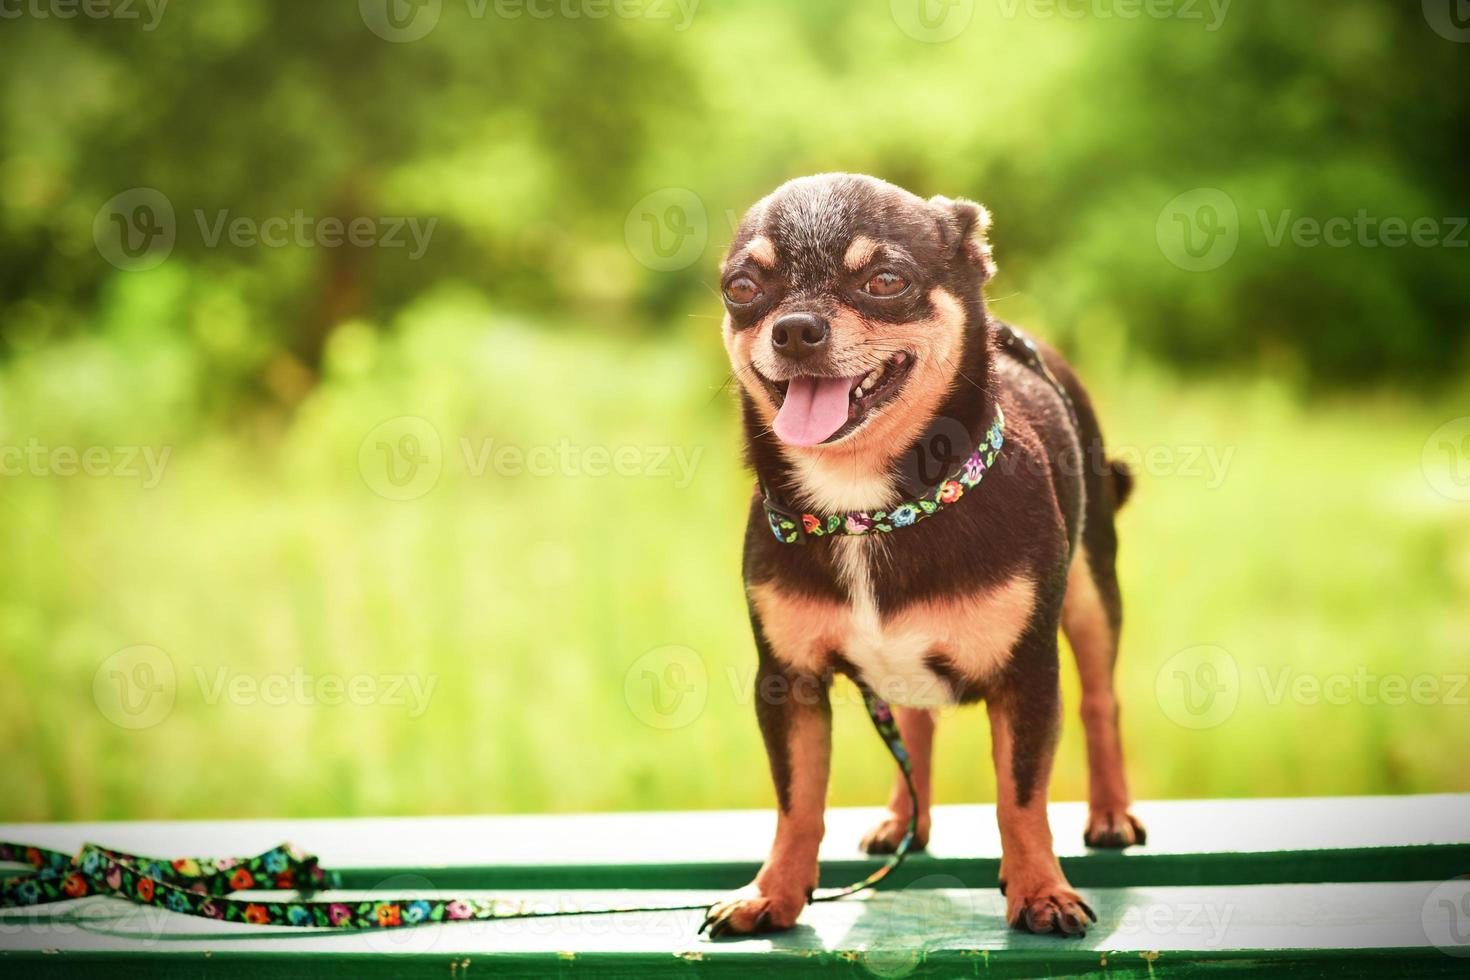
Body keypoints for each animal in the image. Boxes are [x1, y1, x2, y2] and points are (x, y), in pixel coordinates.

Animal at [702, 172, 1146, 940]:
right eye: (743, 288)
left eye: (886, 280)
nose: (795, 327)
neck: (866, 508)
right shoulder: (788, 685)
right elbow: (798, 800)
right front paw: (773, 893)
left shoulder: (1027, 679)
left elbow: (1020, 796)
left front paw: (1041, 891)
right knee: (914, 721)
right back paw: (904, 818)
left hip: (1092, 593)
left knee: (1100, 700)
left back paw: (1111, 812)